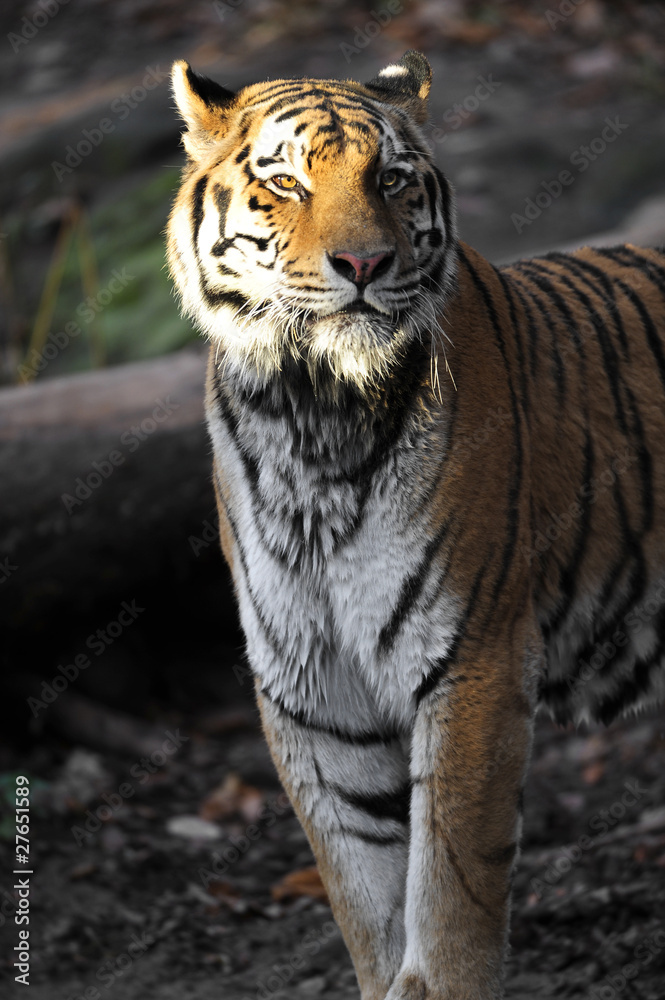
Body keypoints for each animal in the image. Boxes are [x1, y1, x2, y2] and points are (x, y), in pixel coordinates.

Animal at [167, 50, 665, 1000]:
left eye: (390, 179)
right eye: (284, 182)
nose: (363, 261)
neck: (309, 411)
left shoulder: (471, 659)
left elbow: (450, 900)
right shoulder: (313, 695)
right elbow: (366, 897)